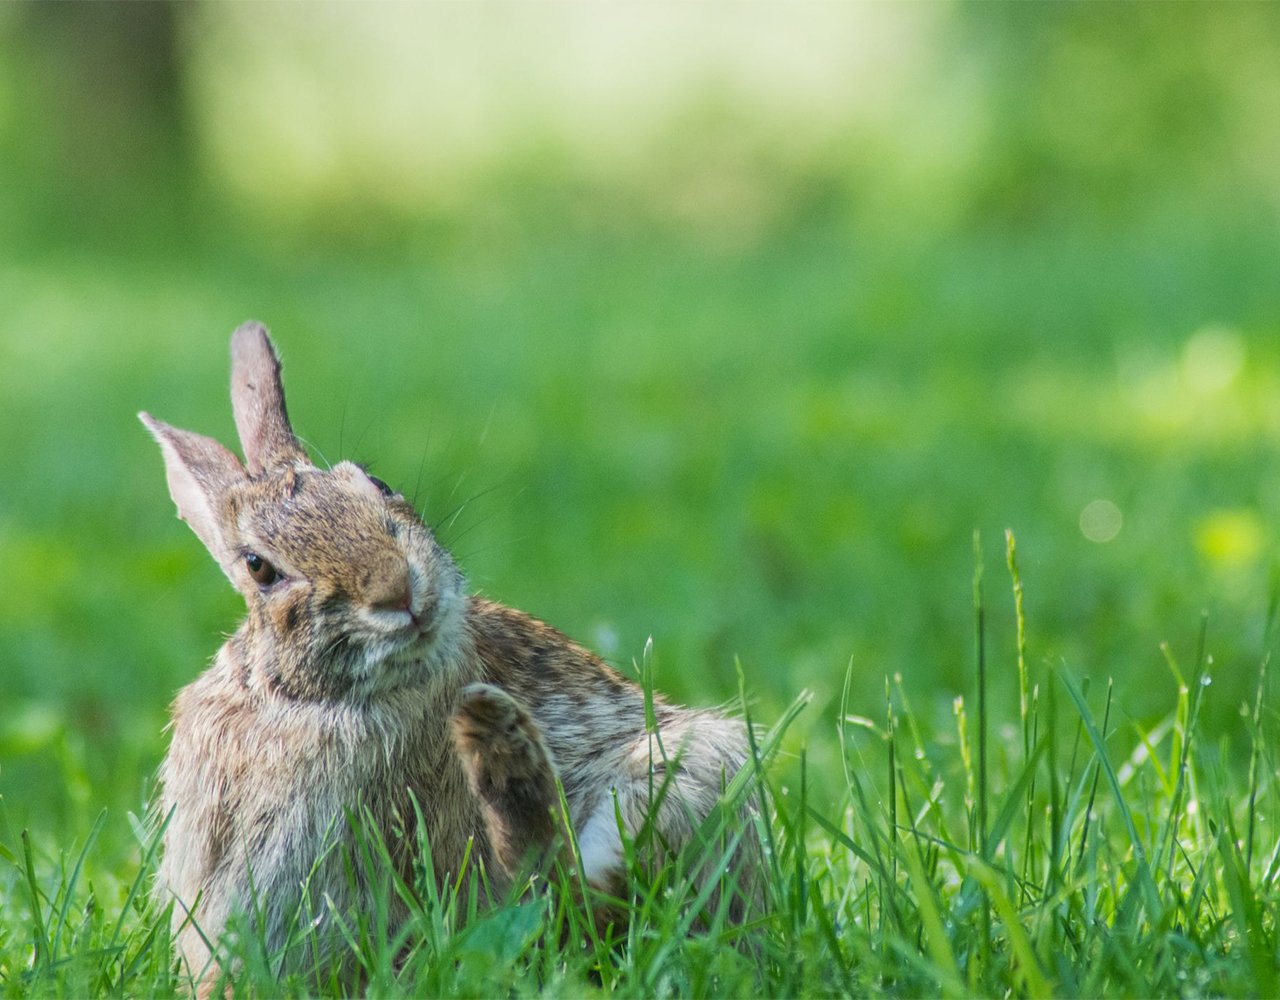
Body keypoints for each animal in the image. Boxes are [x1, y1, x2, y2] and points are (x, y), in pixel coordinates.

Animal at [140, 321, 757, 983]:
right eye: (260, 568)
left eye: (378, 483)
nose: (396, 589)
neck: (316, 699)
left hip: (691, 770)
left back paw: (500, 746)